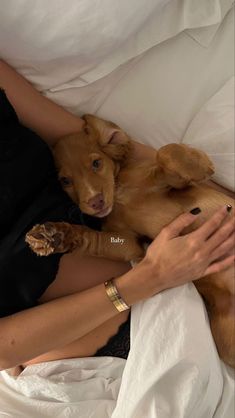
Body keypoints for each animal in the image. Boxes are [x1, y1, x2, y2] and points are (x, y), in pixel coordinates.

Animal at [26, 116, 234, 368]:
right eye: (66, 180)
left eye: (96, 163)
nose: (96, 202)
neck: (120, 195)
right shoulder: (127, 241)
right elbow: (93, 239)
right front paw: (57, 235)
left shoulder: (170, 182)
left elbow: (166, 152)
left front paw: (200, 164)